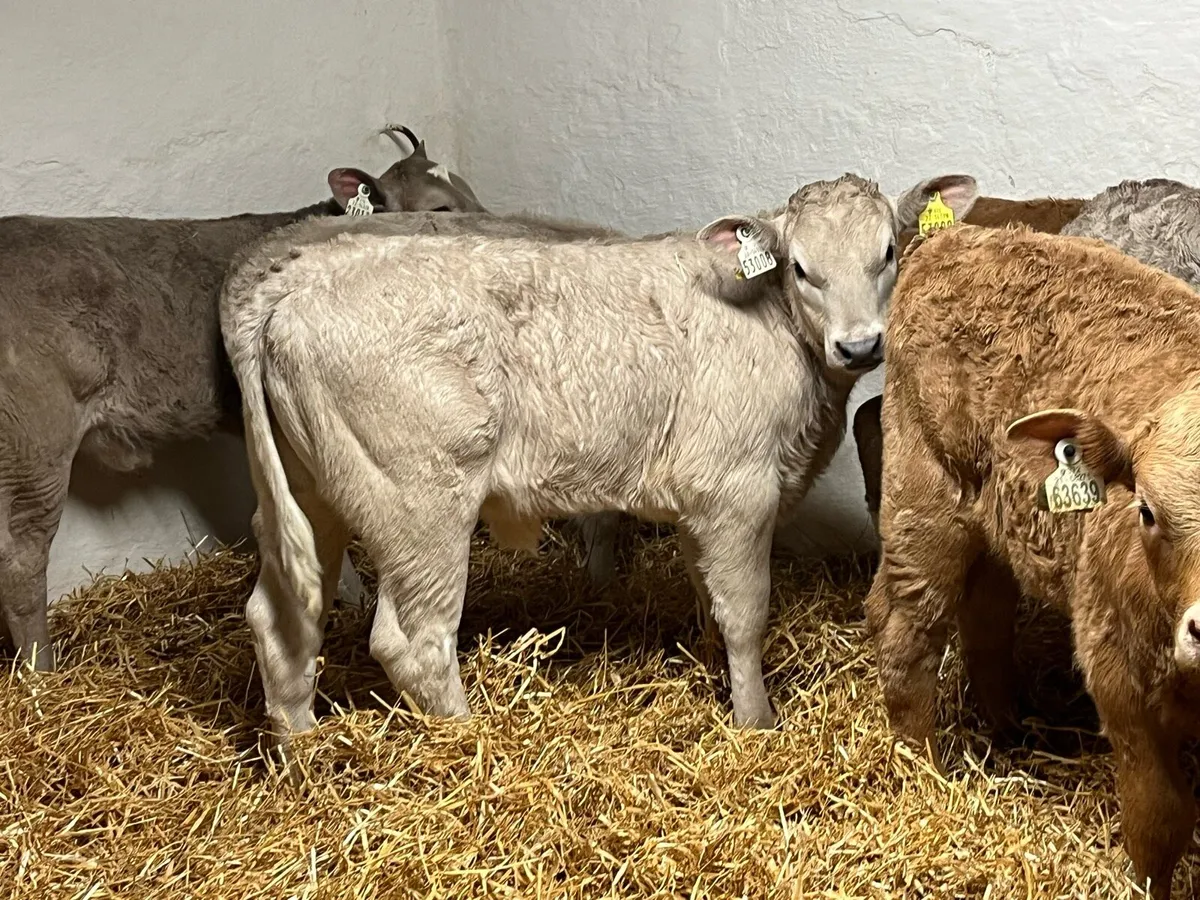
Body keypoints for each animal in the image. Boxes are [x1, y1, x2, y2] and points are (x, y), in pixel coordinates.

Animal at [219, 171, 979, 743]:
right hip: (419, 504)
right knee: (414, 641)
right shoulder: (737, 491)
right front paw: (757, 720)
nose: (860, 345)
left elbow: (708, 597)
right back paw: (466, 741)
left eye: (888, 251)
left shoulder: (698, 501)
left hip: (310, 492)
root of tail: (288, 290)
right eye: (801, 268)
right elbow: (745, 612)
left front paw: (714, 673)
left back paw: (302, 750)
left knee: (280, 619)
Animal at [865, 223, 1200, 898]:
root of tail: (955, 238)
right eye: (1147, 511)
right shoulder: (1121, 678)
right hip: (924, 507)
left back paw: (1009, 729)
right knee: (906, 636)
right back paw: (921, 772)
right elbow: (1160, 818)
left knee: (985, 621)